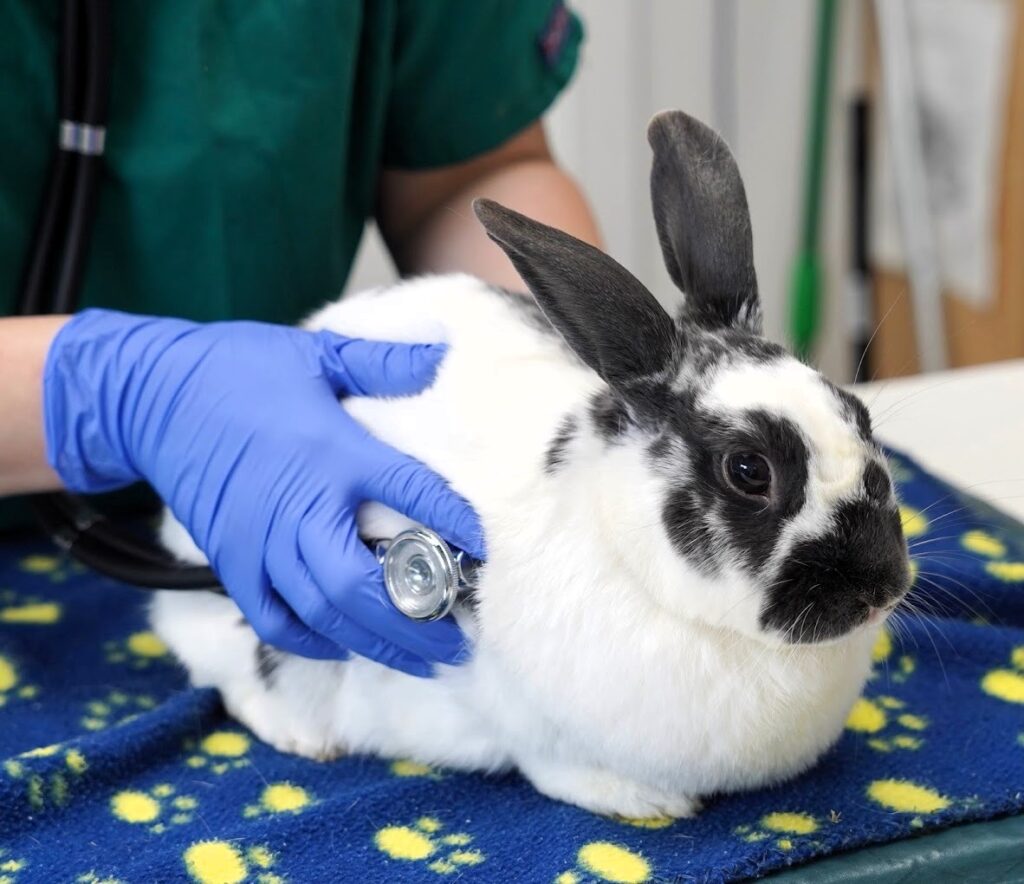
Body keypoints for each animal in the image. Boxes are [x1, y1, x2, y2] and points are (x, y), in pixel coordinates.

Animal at [151, 110, 911, 819]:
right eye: (749, 471)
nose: (880, 587)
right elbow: (553, 765)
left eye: (859, 415)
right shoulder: (522, 717)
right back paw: (305, 736)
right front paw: (645, 803)